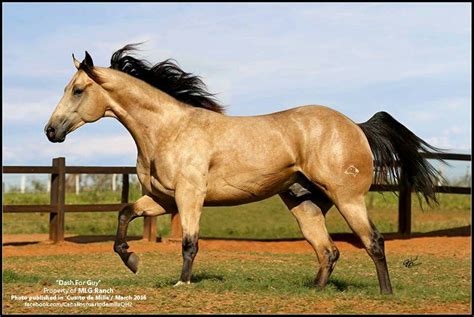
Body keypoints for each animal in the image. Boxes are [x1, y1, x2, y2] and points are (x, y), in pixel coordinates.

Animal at [44, 44, 440, 294]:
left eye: (77, 90)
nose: (51, 131)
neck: (168, 129)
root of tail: (356, 126)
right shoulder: (162, 200)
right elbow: (125, 213)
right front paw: (132, 260)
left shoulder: (189, 197)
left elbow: (189, 243)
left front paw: (182, 283)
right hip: (305, 205)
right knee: (329, 250)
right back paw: (315, 291)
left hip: (347, 198)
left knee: (373, 241)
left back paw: (385, 294)